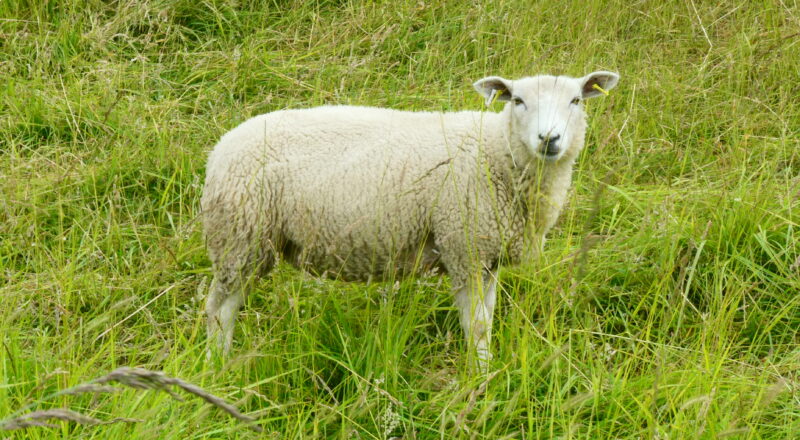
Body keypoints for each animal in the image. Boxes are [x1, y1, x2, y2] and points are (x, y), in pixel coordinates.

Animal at [200, 72, 620, 368]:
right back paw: (216, 364)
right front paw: (479, 380)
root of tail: (219, 150)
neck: (496, 153)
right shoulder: (463, 245)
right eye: (517, 100)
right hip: (240, 235)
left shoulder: (487, 255)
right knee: (219, 310)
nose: (549, 139)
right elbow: (476, 325)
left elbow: (487, 320)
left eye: (576, 99)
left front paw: (488, 373)